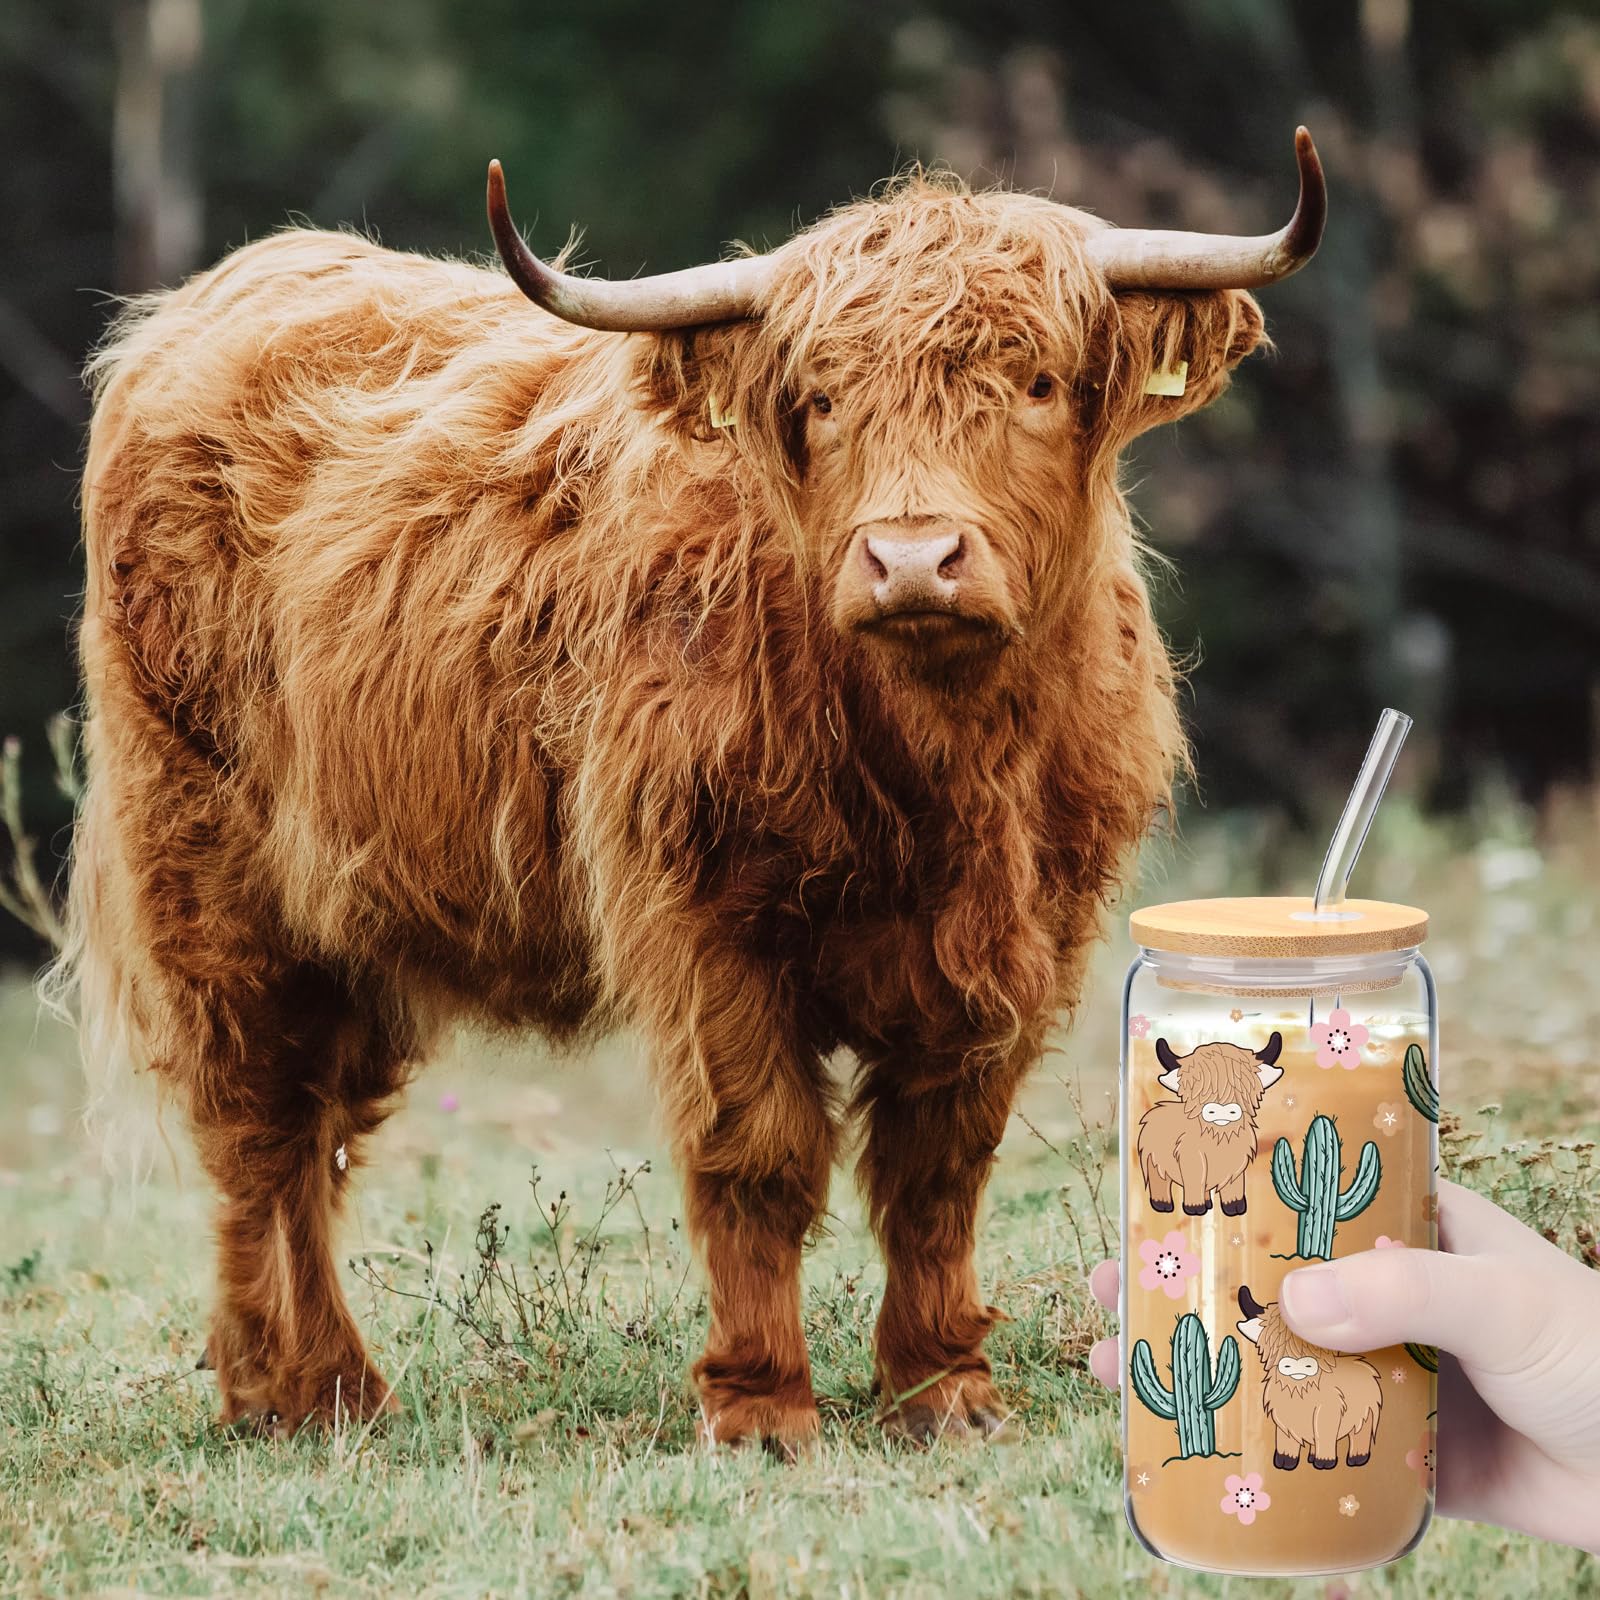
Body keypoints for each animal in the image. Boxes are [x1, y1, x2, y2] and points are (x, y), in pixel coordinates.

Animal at [1136, 1032, 1285, 1217]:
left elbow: (1233, 1188)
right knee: (1160, 1182)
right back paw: (1163, 1205)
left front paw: (1235, 1208)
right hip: (1155, 1164)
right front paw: (1194, 1208)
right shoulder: (1191, 1158)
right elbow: (1195, 1181)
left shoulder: (1236, 1165)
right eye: (1198, 1091)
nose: (1222, 1110)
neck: (1218, 1137)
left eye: (1242, 1089)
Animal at [1237, 1285, 1382, 1470]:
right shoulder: (1285, 1418)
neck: (1300, 1388)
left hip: (1365, 1417)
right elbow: (1286, 1442)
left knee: (1359, 1435)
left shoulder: (1328, 1412)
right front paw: (1285, 1462)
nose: (1297, 1364)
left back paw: (1357, 1459)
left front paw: (1325, 1462)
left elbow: (1324, 1435)